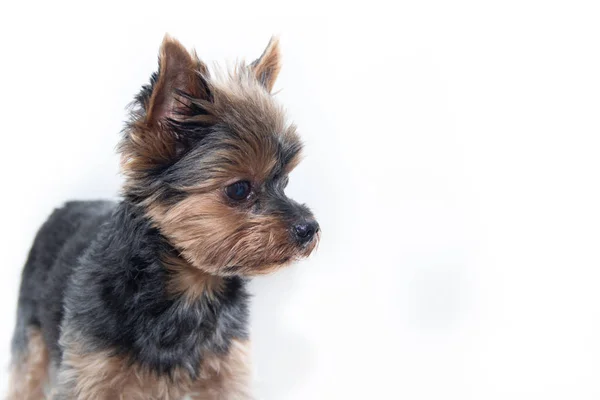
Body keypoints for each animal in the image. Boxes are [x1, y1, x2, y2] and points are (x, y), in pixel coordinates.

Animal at [5, 35, 318, 400]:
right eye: (239, 189)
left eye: (284, 182)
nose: (309, 228)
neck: (191, 290)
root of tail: (66, 205)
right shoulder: (91, 375)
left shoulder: (225, 372)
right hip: (30, 330)